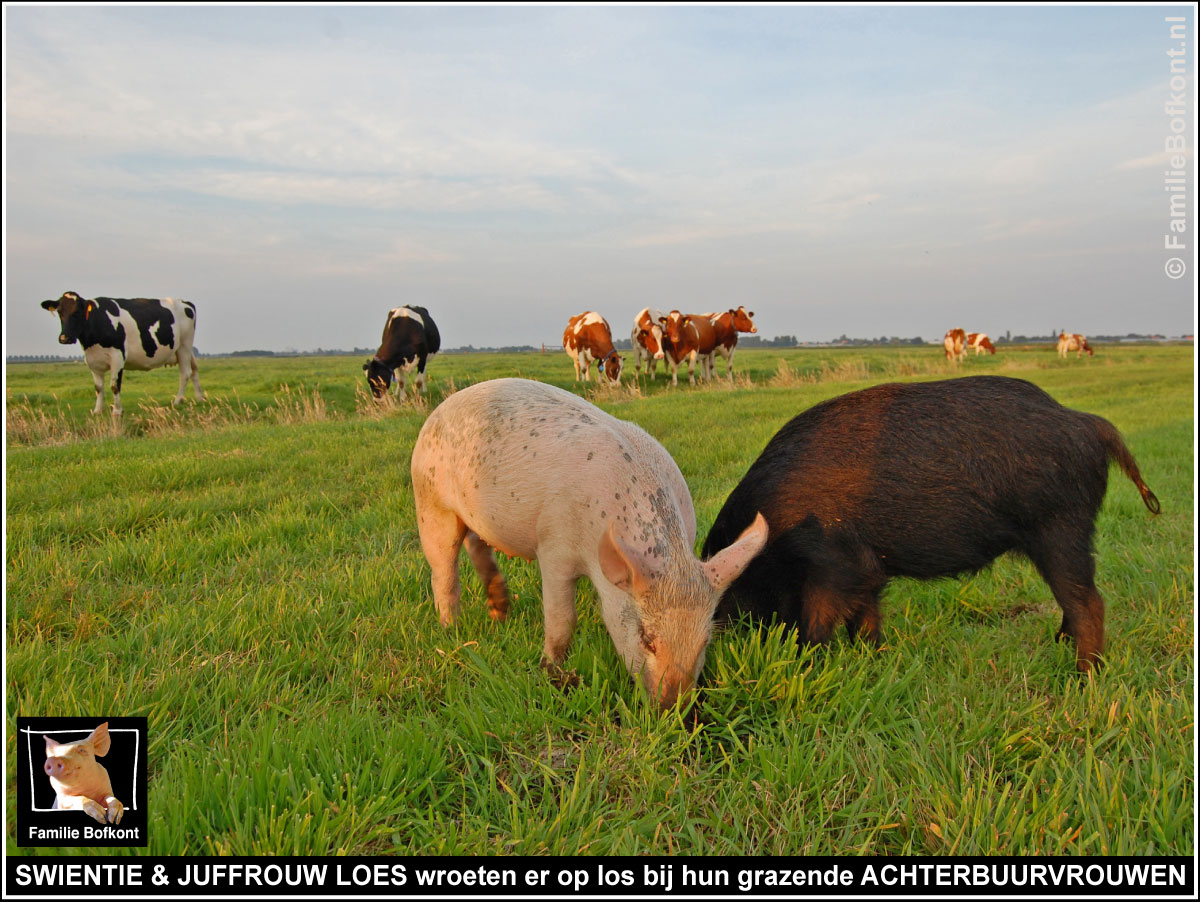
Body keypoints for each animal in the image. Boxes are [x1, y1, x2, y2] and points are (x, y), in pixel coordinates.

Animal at [39, 290, 202, 417]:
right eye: (60, 312)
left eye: (77, 312)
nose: (64, 338)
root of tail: (184, 302)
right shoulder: (92, 360)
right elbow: (98, 387)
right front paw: (98, 410)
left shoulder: (118, 357)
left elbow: (114, 386)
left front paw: (117, 411)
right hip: (186, 350)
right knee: (194, 370)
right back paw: (200, 399)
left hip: (184, 346)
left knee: (185, 373)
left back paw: (177, 401)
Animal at [412, 376, 768, 710]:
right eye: (646, 638)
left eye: (705, 640)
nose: (672, 708)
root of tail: (440, 409)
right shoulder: (553, 545)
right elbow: (561, 618)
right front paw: (551, 671)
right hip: (430, 501)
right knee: (443, 572)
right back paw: (452, 631)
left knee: (477, 545)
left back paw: (501, 613)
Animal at [700, 374, 1161, 676]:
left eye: (728, 594)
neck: (775, 534)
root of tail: (1089, 423)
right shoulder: (868, 571)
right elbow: (865, 620)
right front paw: (874, 660)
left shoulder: (834, 565)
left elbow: (816, 626)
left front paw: (807, 664)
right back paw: (1058, 645)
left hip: (1060, 529)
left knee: (1089, 603)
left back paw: (1083, 676)